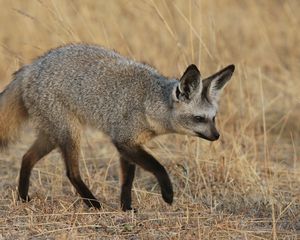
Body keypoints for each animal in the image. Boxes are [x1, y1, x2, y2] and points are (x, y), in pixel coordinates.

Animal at [0, 44, 234, 211]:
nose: (216, 136)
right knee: (71, 172)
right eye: (199, 118)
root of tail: (32, 66)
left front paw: (126, 207)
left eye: (213, 118)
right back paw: (92, 203)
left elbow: (127, 181)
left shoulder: (129, 144)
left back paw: (23, 197)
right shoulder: (124, 141)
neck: (149, 102)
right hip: (69, 135)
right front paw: (167, 194)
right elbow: (158, 167)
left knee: (26, 158)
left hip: (52, 136)